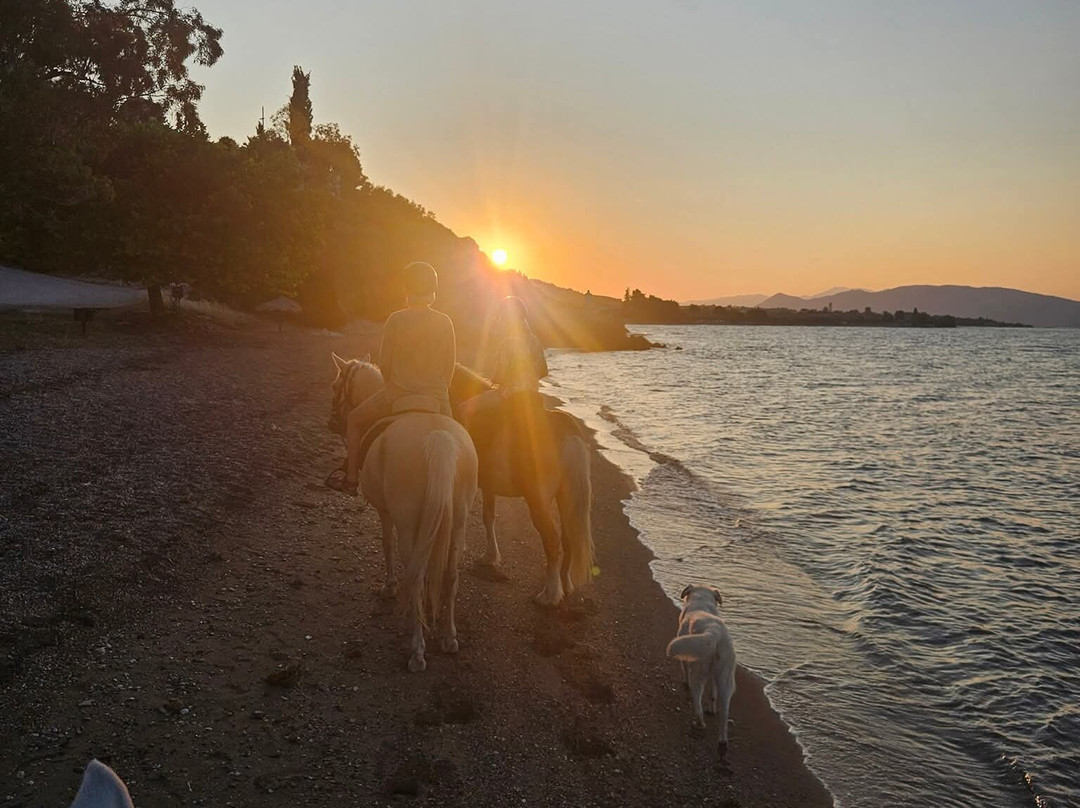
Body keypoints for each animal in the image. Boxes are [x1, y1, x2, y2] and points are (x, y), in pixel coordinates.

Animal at [329, 354, 478, 672]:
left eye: (336, 385)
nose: (331, 422)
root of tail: (438, 438)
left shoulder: (385, 512)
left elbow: (386, 545)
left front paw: (388, 587)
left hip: (410, 524)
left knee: (416, 575)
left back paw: (417, 651)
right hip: (458, 521)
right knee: (450, 574)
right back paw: (449, 637)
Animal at [449, 364, 593, 607]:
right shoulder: (489, 486)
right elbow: (488, 516)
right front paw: (490, 556)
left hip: (538, 501)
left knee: (552, 542)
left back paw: (550, 595)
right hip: (566, 499)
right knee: (568, 539)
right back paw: (565, 584)